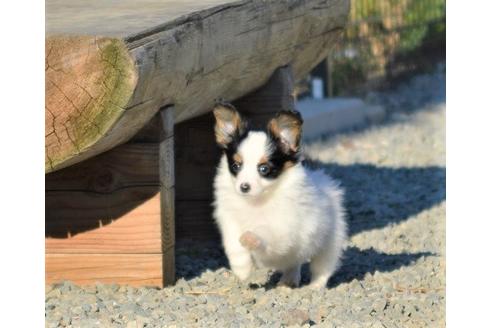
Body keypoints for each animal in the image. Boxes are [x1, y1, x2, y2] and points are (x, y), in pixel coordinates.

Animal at [211, 102, 346, 288]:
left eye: (264, 169)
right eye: (236, 166)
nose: (244, 187)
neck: (256, 201)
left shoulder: (283, 227)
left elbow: (265, 233)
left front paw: (250, 238)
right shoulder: (230, 220)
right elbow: (234, 246)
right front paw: (242, 270)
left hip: (331, 238)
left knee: (323, 266)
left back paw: (315, 286)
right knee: (293, 262)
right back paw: (288, 279)